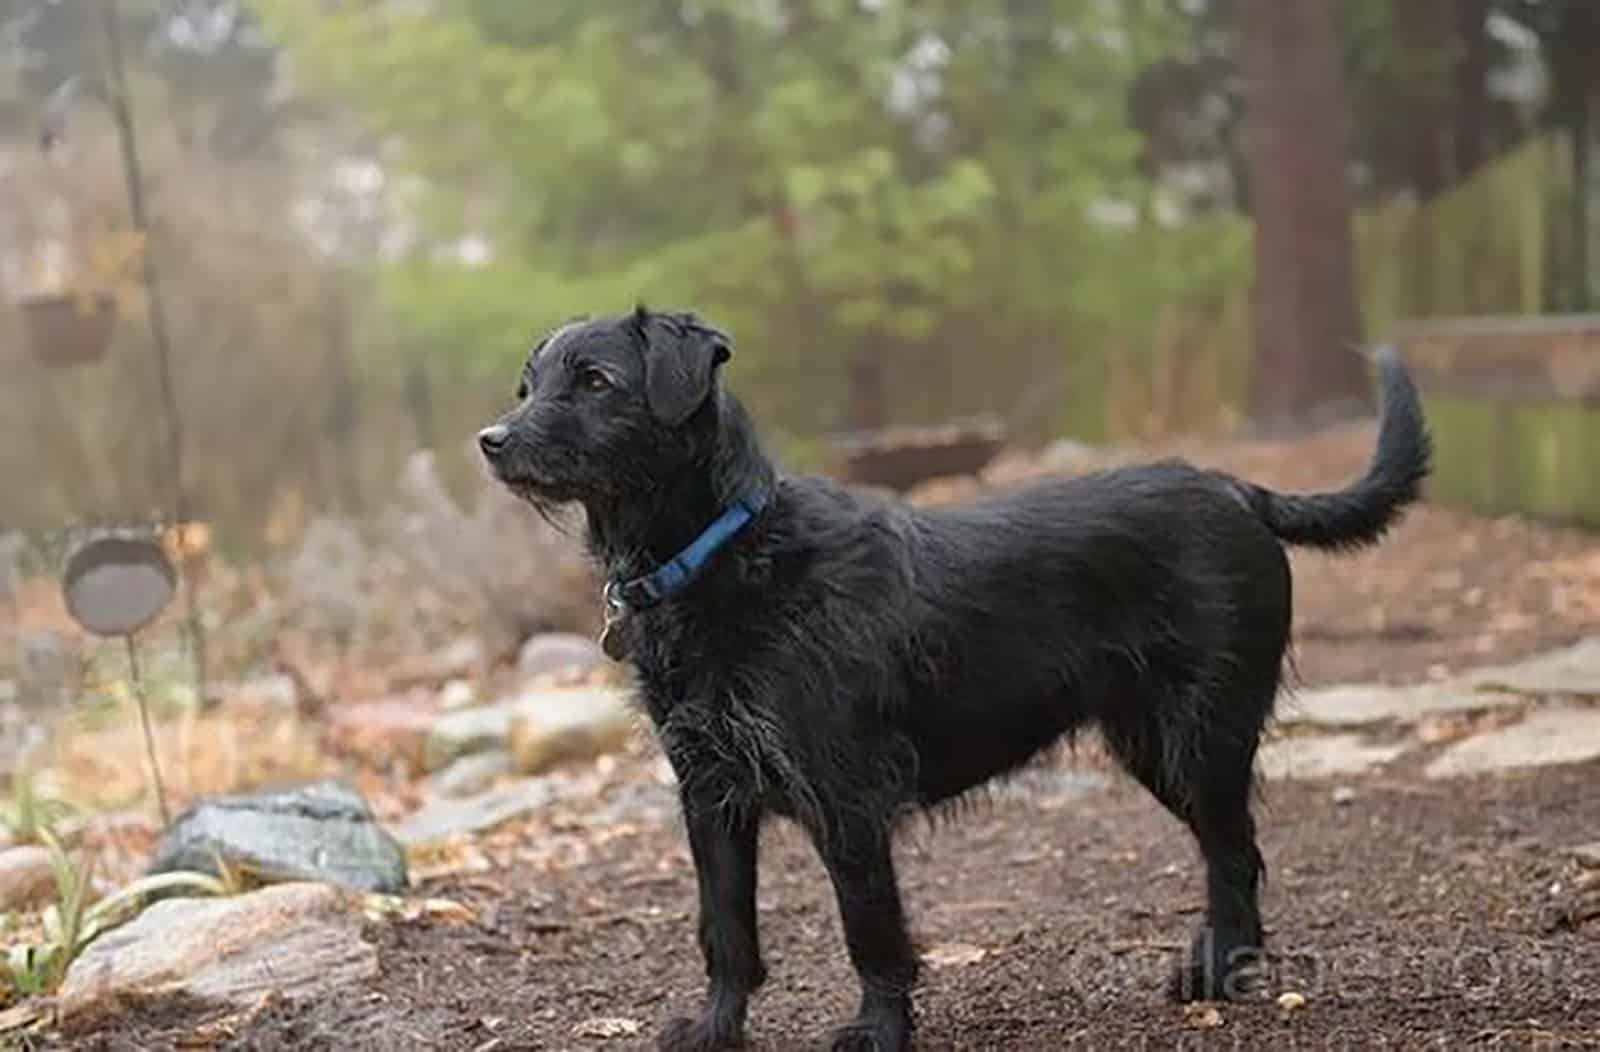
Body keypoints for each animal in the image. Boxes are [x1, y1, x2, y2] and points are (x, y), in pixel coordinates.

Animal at [476, 305, 1440, 1048]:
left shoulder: (845, 798)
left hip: (1201, 740)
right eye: (527, 385)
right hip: (1153, 747)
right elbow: (725, 929)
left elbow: (872, 931)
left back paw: (1223, 977)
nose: (490, 440)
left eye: (595, 381)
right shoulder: (709, 795)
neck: (724, 553)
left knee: (1235, 854)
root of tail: (1238, 491)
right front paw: (716, 1028)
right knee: (1231, 853)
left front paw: (878, 1031)